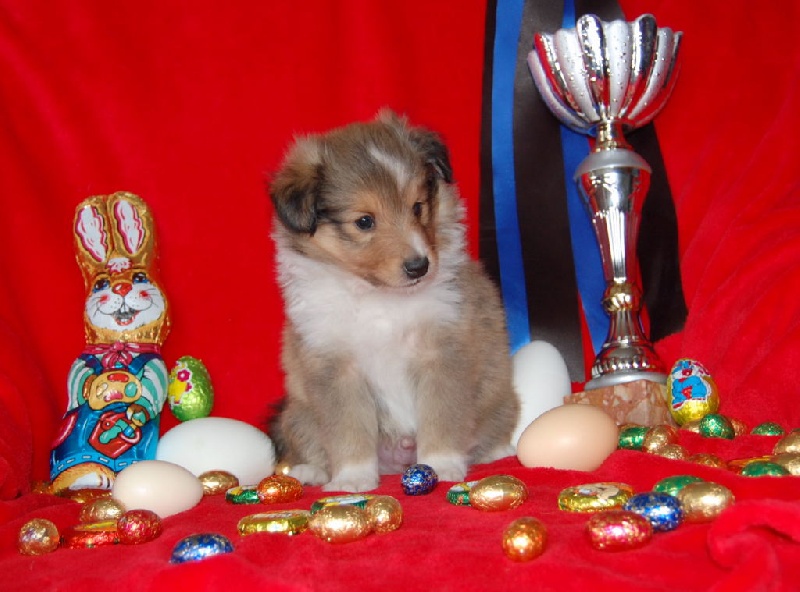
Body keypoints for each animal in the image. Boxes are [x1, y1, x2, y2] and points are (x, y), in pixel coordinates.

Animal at [268, 111, 519, 492]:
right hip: (297, 414)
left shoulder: (443, 349)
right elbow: (347, 428)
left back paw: (499, 451)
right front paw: (352, 477)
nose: (419, 267)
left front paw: (441, 464)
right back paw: (308, 471)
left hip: (500, 399)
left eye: (417, 207)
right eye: (364, 221)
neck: (379, 295)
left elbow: (442, 413)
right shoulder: (334, 365)